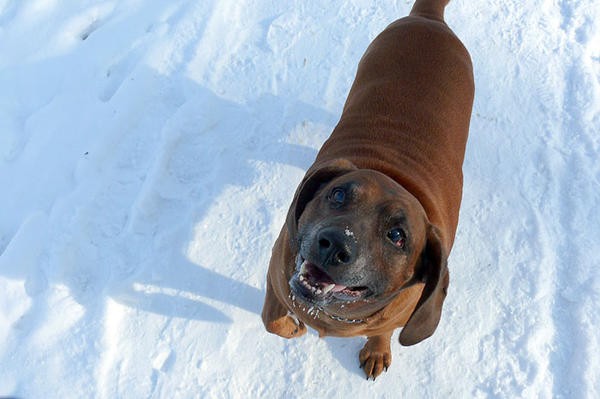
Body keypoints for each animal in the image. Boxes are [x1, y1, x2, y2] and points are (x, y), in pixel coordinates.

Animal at [262, 0, 474, 382]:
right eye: (338, 194)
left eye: (397, 235)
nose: (333, 245)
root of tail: (428, 17)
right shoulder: (277, 275)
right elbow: (273, 322)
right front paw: (293, 327)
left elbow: (383, 330)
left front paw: (377, 350)